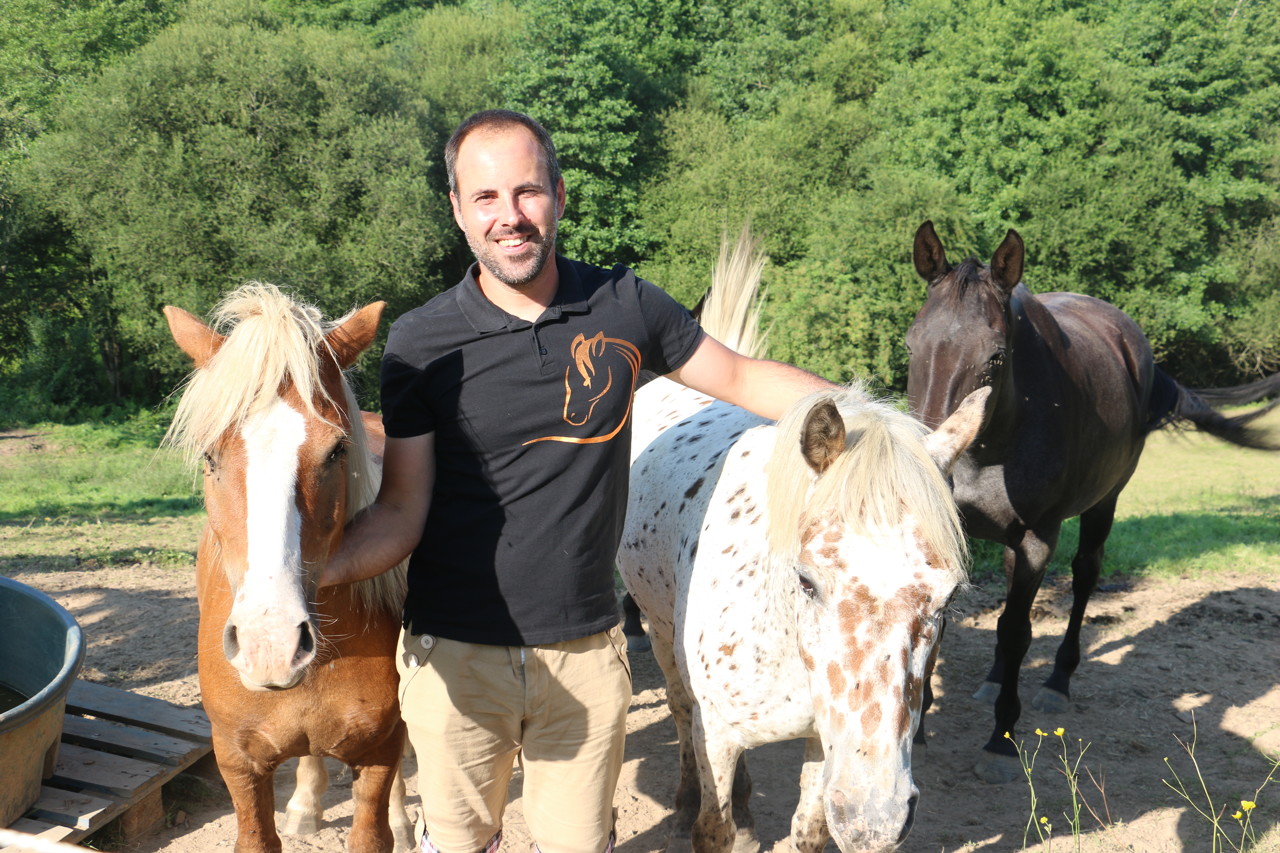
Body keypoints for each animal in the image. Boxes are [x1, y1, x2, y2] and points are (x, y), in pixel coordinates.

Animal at [619, 233, 988, 850]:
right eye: (807, 579)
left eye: (948, 598)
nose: (873, 817)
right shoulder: (718, 735)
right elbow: (713, 827)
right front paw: (714, 815)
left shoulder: (825, 743)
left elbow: (809, 828)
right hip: (661, 628)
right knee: (679, 706)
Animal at [906, 220, 1274, 783]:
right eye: (911, 346)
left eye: (995, 356)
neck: (993, 445)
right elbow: (943, 621)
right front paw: (919, 725)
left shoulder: (1040, 536)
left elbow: (1017, 631)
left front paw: (1001, 740)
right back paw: (993, 680)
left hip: (1104, 503)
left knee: (1083, 578)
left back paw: (1057, 682)